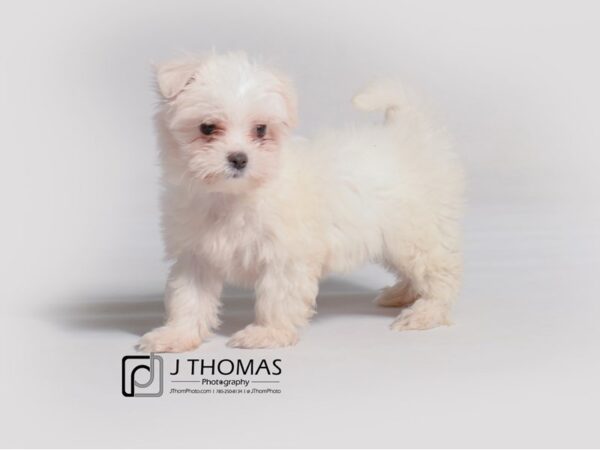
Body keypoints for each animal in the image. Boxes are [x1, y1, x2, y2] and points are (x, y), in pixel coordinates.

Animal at [139, 51, 464, 352]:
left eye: (261, 129)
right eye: (207, 128)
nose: (239, 159)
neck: (233, 196)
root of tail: (408, 136)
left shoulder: (286, 256)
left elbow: (276, 297)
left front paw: (267, 333)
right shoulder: (196, 255)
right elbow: (189, 299)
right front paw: (176, 335)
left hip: (414, 234)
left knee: (440, 273)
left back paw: (425, 312)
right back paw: (401, 294)